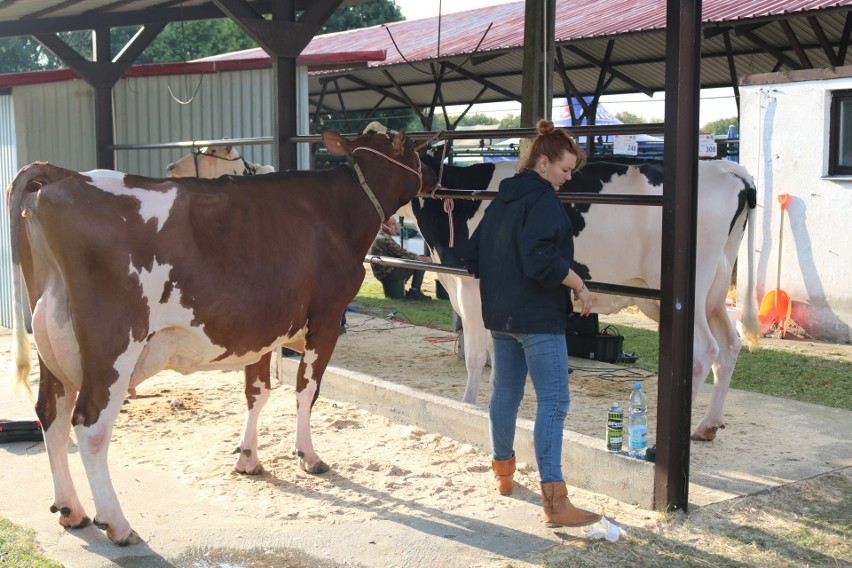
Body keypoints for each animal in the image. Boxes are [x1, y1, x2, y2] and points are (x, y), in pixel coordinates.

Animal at [6, 125, 432, 544]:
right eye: (413, 147)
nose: (433, 173)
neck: (339, 210)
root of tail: (63, 176)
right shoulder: (326, 318)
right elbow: (306, 391)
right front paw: (307, 457)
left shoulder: (262, 329)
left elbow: (257, 393)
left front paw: (248, 458)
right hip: (113, 344)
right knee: (90, 424)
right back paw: (117, 523)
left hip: (51, 342)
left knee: (52, 414)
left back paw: (71, 510)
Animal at [410, 153, 764, 442]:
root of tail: (727, 168)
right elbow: (498, 355)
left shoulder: (470, 288)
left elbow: (475, 354)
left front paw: (467, 406)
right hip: (714, 292)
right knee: (729, 346)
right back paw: (707, 426)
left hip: (687, 292)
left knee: (704, 351)